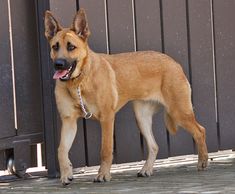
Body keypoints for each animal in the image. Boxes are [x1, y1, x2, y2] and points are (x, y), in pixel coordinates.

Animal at [43, 8, 207, 185]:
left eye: (71, 47)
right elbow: (61, 150)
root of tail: (174, 63)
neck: (79, 81)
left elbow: (105, 150)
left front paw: (103, 175)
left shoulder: (107, 119)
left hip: (179, 112)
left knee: (200, 131)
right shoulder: (69, 122)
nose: (58, 64)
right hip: (142, 117)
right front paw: (66, 173)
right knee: (154, 145)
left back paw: (202, 162)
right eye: (55, 47)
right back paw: (146, 170)